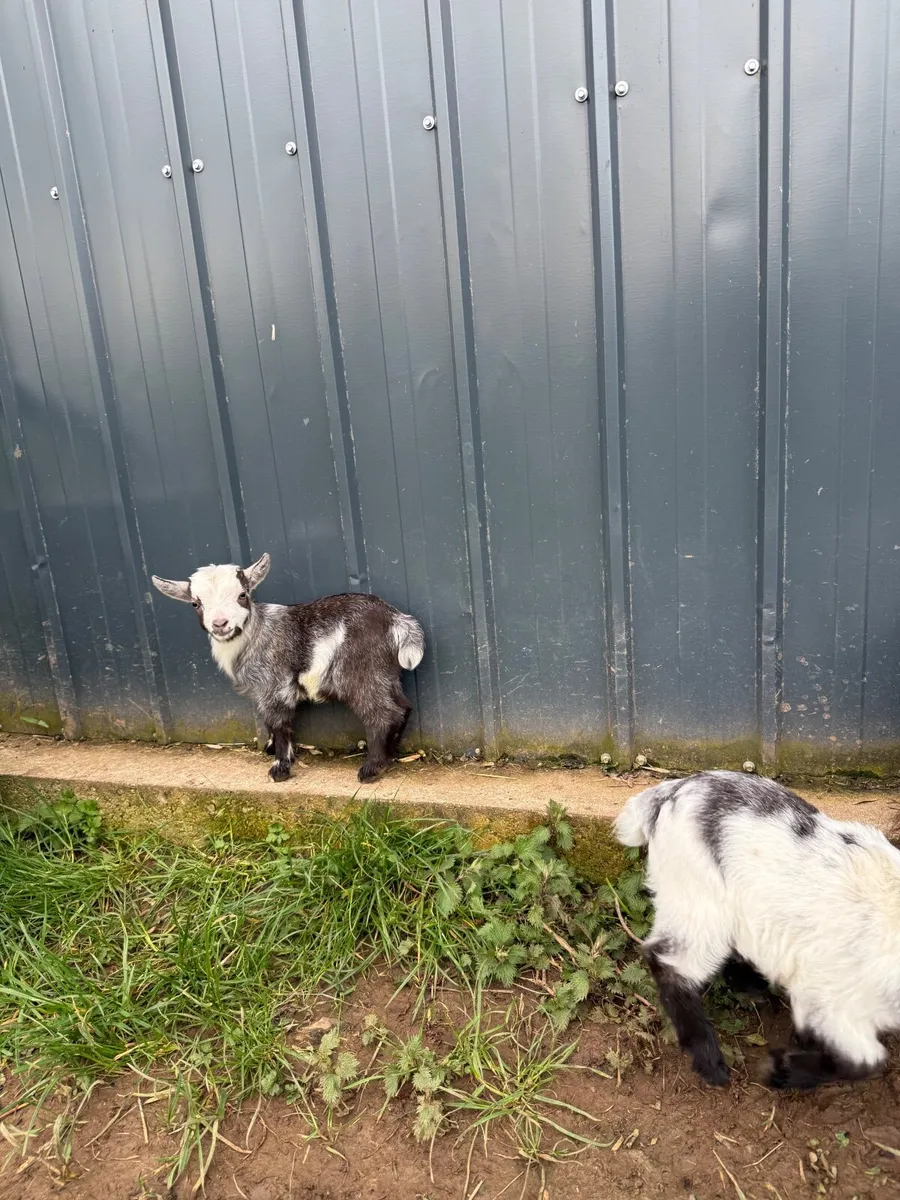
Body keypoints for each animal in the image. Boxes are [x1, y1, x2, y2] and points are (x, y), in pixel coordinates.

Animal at [151, 554, 424, 784]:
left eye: (242, 595)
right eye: (195, 604)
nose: (220, 624)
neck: (256, 633)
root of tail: (398, 621)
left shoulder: (274, 686)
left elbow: (278, 722)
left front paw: (280, 768)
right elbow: (269, 722)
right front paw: (271, 748)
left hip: (360, 673)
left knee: (382, 714)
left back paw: (371, 769)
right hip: (384, 674)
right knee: (402, 706)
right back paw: (390, 753)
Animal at [614, 770, 900, 1091]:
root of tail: (671, 791)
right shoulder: (828, 995)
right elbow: (864, 1061)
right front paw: (781, 1071)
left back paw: (752, 987)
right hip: (698, 901)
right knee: (667, 960)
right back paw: (710, 1061)